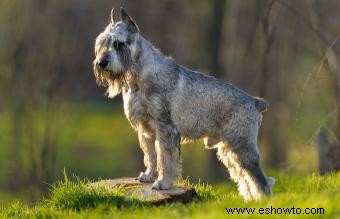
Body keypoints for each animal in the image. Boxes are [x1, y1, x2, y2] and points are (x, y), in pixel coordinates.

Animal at [93, 7, 276, 201]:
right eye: (101, 43)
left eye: (118, 44)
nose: (101, 62)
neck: (138, 78)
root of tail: (255, 102)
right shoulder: (145, 129)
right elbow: (150, 155)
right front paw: (148, 176)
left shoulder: (165, 128)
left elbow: (165, 158)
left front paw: (163, 183)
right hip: (229, 151)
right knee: (245, 178)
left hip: (243, 146)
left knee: (262, 180)